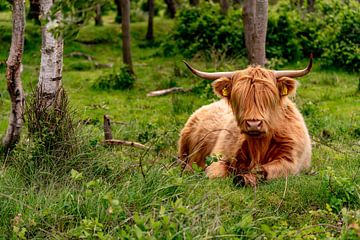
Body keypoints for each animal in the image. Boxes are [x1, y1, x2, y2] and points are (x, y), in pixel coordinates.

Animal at [179, 56, 312, 186]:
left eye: (268, 98)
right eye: (239, 98)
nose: (253, 124)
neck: (258, 146)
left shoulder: (290, 161)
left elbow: (261, 170)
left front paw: (244, 179)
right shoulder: (219, 156)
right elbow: (215, 174)